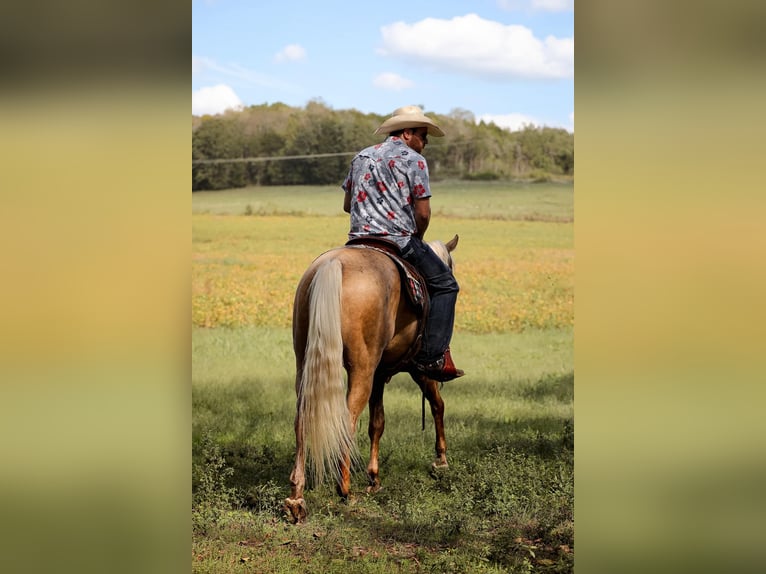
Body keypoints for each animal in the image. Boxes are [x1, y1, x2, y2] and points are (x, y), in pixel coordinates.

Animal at [284, 235, 459, 523]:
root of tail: (333, 265)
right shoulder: (418, 368)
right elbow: (437, 404)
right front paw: (441, 459)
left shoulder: (380, 372)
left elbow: (377, 422)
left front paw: (374, 477)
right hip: (362, 369)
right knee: (347, 419)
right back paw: (344, 489)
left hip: (304, 362)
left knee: (302, 419)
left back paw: (297, 498)